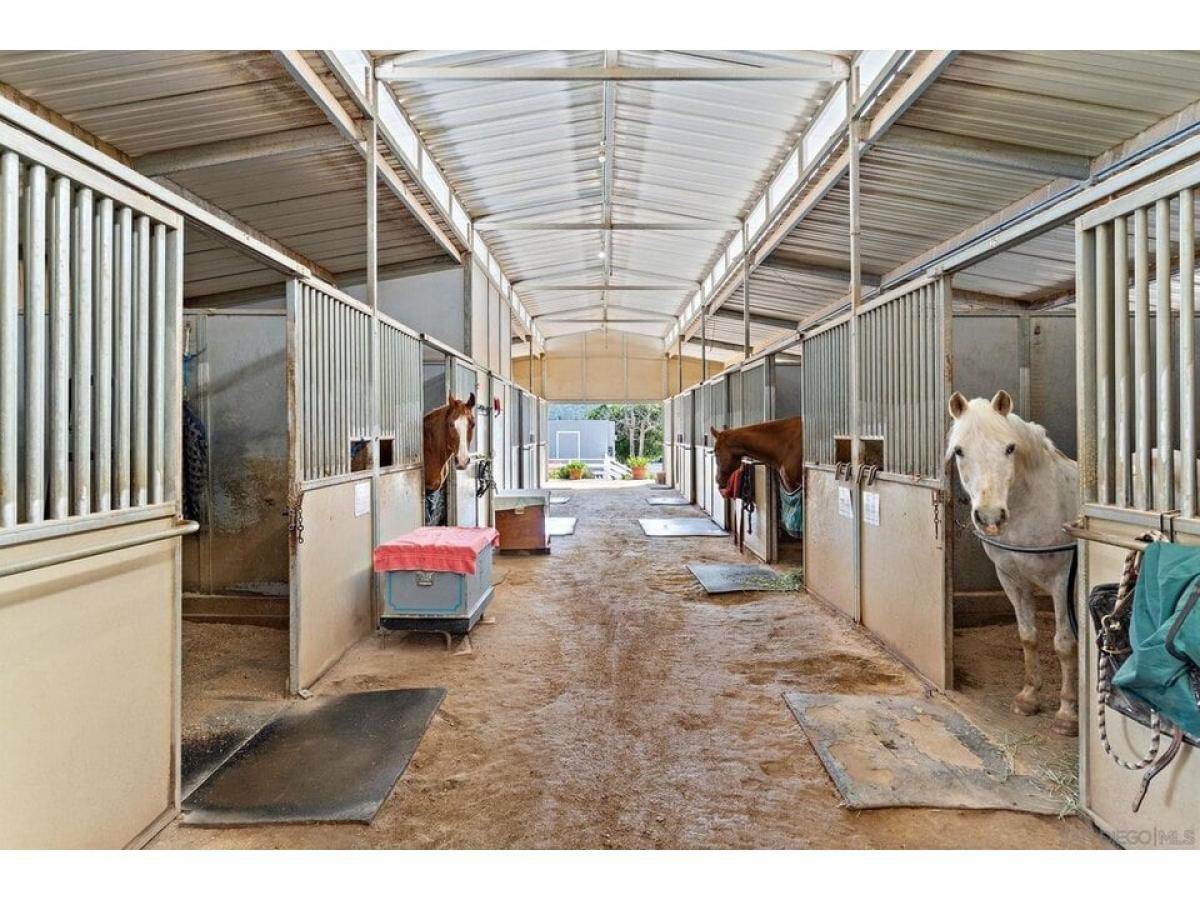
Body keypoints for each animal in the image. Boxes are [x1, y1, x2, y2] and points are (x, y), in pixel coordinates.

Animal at [946, 389, 1079, 736]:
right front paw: (1028, 698)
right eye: (959, 451)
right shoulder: (1011, 579)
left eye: (1009, 448)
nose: (991, 517)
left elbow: (1064, 643)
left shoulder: (1062, 581)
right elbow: (1027, 636)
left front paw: (1067, 714)